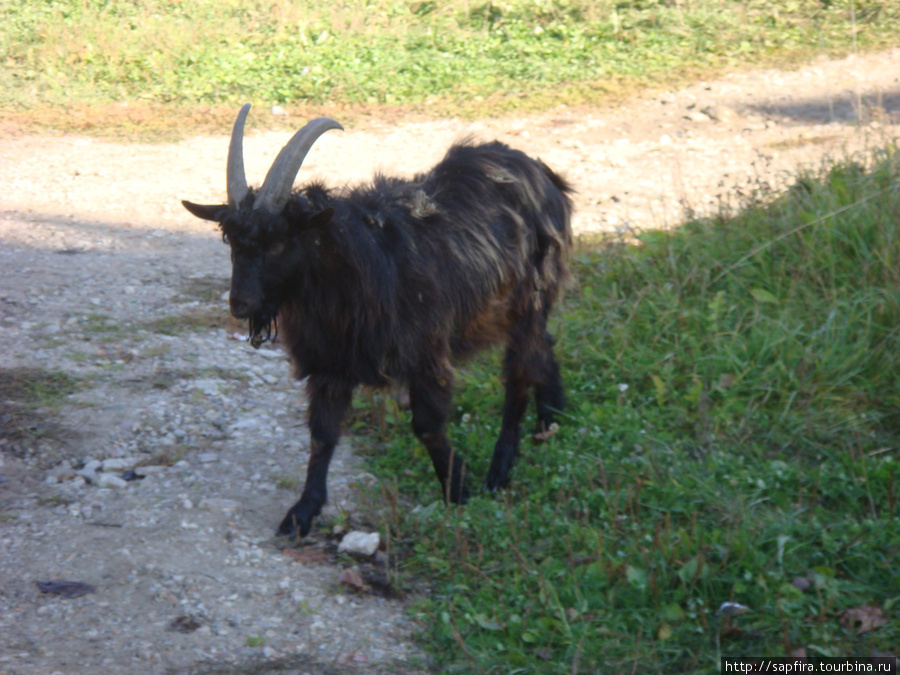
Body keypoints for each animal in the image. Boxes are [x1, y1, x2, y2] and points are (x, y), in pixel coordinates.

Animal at [184, 105, 572, 540]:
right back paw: (552, 419)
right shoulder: (329, 365)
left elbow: (426, 426)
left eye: (279, 241)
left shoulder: (426, 354)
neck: (355, 268)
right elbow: (322, 435)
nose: (240, 303)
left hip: (528, 303)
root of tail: (541, 172)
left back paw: (499, 471)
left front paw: (458, 488)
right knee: (543, 349)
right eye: (230, 240)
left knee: (519, 376)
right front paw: (302, 512)